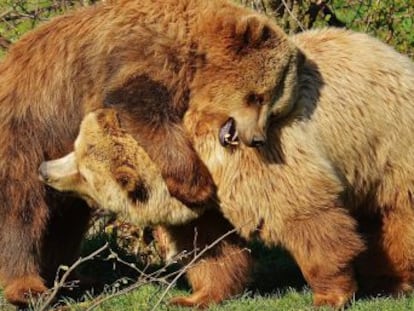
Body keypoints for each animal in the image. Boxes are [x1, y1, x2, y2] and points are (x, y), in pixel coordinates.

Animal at [0, 0, 284, 308]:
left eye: (270, 98)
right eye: (257, 96)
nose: (257, 138)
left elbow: (204, 232)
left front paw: (208, 289)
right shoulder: (141, 61)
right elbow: (141, 109)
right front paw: (198, 186)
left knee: (67, 219)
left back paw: (72, 278)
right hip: (28, 132)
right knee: (21, 210)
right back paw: (28, 287)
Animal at [43, 28, 414, 310]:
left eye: (81, 171)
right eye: (76, 149)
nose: (44, 169)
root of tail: (397, 57)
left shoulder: (263, 163)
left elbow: (308, 219)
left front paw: (329, 294)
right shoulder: (207, 199)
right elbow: (209, 247)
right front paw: (192, 297)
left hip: (388, 143)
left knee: (397, 216)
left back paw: (394, 282)